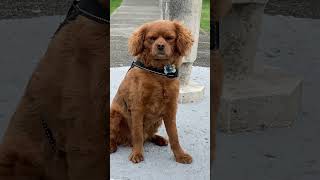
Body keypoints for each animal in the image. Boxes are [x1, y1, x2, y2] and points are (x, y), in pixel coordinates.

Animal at [110, 20, 194, 164]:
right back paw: (112, 146)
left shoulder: (171, 109)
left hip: (157, 120)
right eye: (152, 38)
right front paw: (137, 154)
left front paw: (180, 155)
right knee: (117, 136)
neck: (159, 72)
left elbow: (174, 135)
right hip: (115, 115)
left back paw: (158, 139)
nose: (160, 46)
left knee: (147, 136)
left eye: (169, 38)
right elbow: (137, 134)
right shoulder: (137, 108)